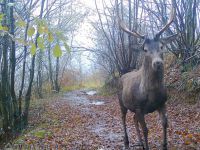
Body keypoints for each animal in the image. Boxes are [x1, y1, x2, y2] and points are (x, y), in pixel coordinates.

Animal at [117, 1, 177, 150]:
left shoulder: (162, 103)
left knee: (133, 120)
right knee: (123, 118)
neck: (152, 93)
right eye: (145, 49)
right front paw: (148, 145)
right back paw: (126, 142)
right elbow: (146, 130)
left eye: (161, 46)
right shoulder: (139, 107)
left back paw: (139, 142)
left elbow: (165, 123)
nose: (158, 63)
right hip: (121, 101)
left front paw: (164, 146)